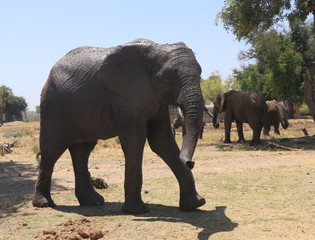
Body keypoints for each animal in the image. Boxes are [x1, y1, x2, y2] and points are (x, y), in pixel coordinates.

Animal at [31, 39, 207, 214]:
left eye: (200, 73)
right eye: (168, 78)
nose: (190, 162)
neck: (154, 49)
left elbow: (161, 140)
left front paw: (195, 204)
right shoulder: (125, 97)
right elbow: (135, 140)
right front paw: (137, 211)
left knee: (82, 151)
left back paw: (92, 202)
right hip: (53, 107)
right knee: (52, 150)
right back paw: (44, 203)